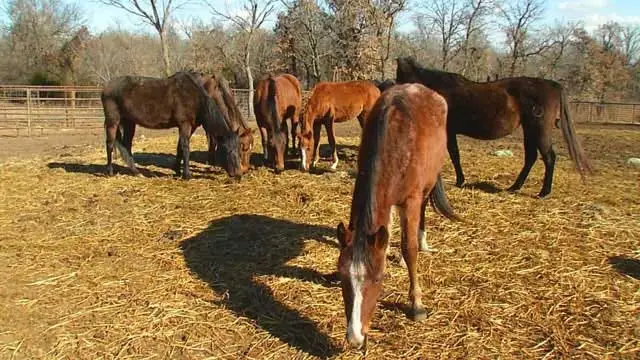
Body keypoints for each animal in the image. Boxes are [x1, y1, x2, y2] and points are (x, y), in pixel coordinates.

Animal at [101, 70, 244, 180]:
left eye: (238, 149)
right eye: (227, 150)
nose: (238, 174)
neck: (194, 97)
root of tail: (106, 87)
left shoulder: (190, 127)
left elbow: (180, 148)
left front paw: (177, 171)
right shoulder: (184, 125)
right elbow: (185, 148)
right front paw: (187, 175)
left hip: (129, 122)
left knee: (127, 145)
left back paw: (136, 172)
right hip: (113, 121)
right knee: (110, 144)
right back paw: (110, 172)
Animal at [336, 83, 460, 348]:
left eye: (377, 279)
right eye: (343, 277)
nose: (355, 337)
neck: (396, 141)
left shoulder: (410, 200)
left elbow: (409, 247)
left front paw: (417, 305)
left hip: (425, 188)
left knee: (419, 219)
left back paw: (422, 241)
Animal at [398, 56, 592, 198]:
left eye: (401, 78)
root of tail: (553, 85)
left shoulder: (449, 131)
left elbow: (454, 155)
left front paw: (460, 180)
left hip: (539, 131)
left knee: (549, 158)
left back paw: (544, 192)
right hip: (529, 131)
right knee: (531, 157)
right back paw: (514, 187)